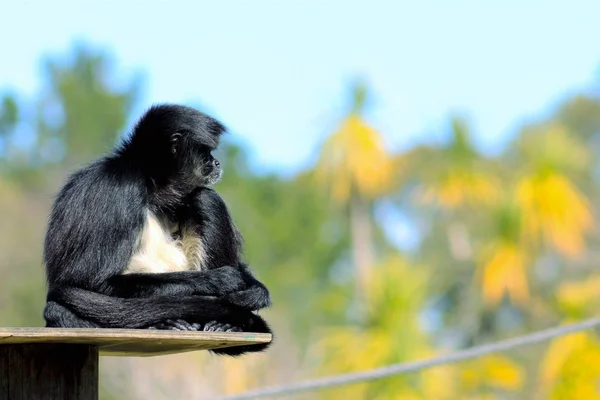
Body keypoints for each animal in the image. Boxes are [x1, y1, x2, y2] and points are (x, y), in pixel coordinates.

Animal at [43, 104, 274, 356]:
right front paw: (219, 280)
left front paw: (256, 289)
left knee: (203, 197)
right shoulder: (119, 189)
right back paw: (165, 323)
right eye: (206, 153)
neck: (150, 183)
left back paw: (225, 324)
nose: (216, 163)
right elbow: (90, 283)